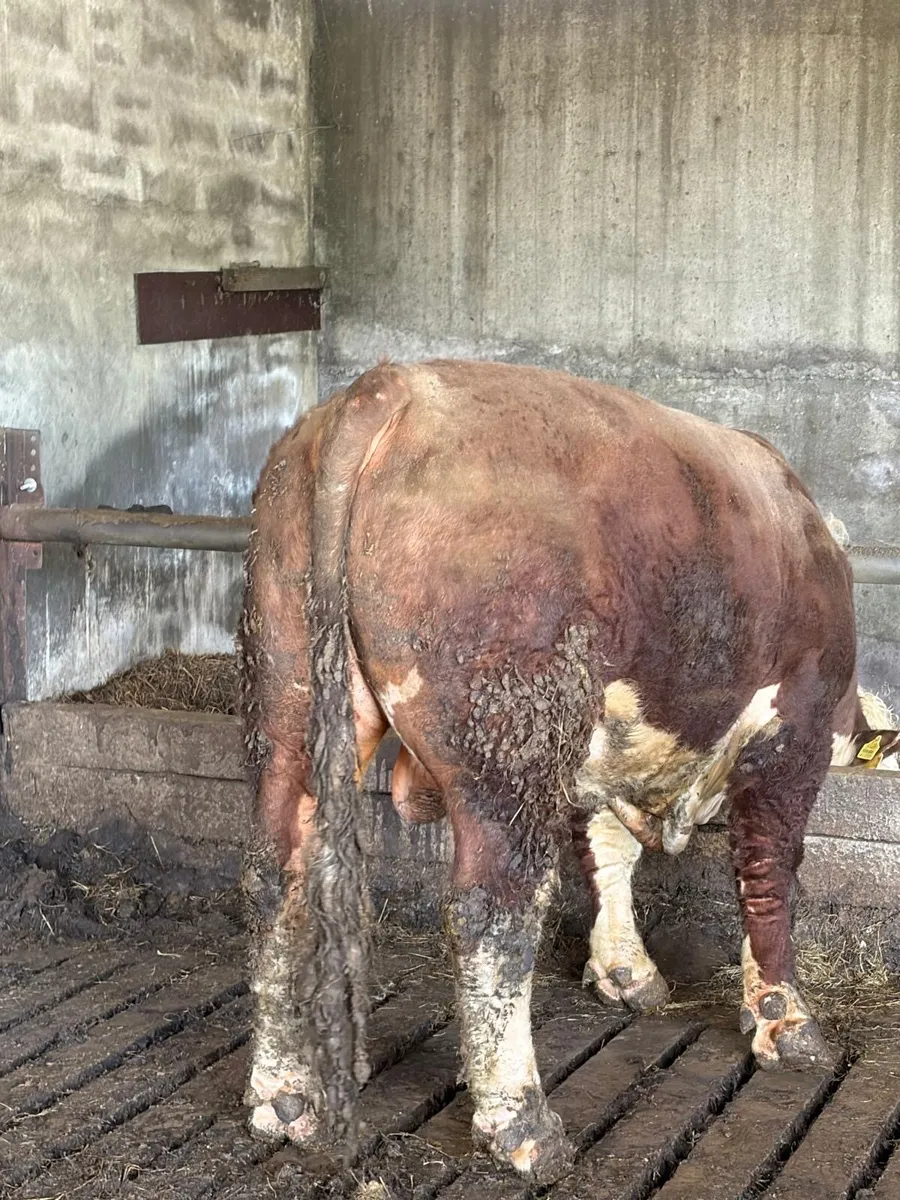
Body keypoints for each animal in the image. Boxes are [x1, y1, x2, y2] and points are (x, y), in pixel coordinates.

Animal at [238, 360, 899, 1184]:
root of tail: (393, 386)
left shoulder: (600, 747)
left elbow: (607, 853)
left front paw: (626, 973)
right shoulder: (791, 735)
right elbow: (770, 876)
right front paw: (786, 1022)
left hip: (290, 694)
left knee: (279, 874)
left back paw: (283, 1095)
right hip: (511, 739)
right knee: (492, 914)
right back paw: (523, 1123)